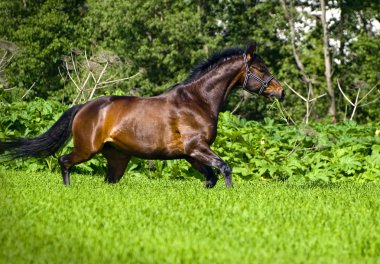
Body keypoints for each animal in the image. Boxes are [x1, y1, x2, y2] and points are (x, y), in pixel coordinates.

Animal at [0, 42, 284, 188]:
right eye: (260, 68)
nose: (280, 91)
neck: (197, 101)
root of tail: (84, 106)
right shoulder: (197, 148)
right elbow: (224, 168)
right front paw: (230, 193)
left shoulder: (191, 155)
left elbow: (211, 177)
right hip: (86, 149)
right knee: (64, 161)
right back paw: (68, 189)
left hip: (118, 157)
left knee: (108, 180)